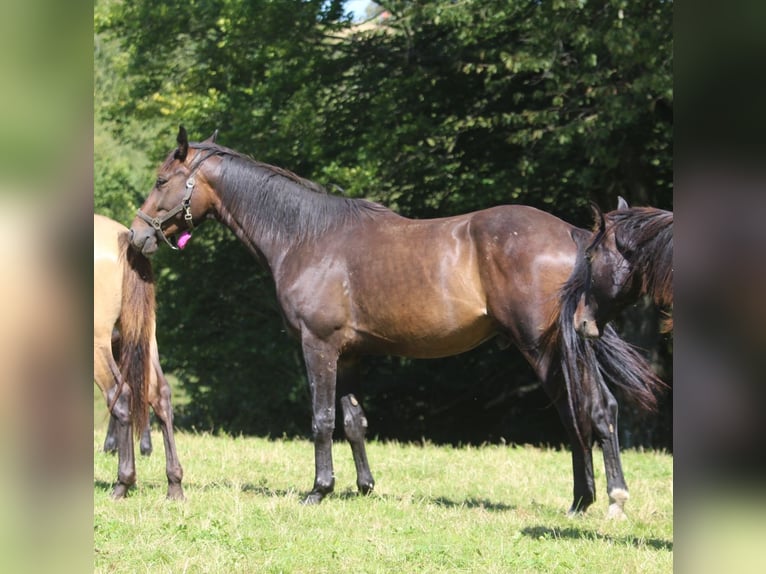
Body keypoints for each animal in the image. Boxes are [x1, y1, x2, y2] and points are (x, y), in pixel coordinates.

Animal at [92, 216, 182, 500]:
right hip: (145, 335)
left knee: (120, 396)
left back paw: (123, 482)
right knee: (160, 395)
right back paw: (174, 484)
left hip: (100, 344)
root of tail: (125, 238)